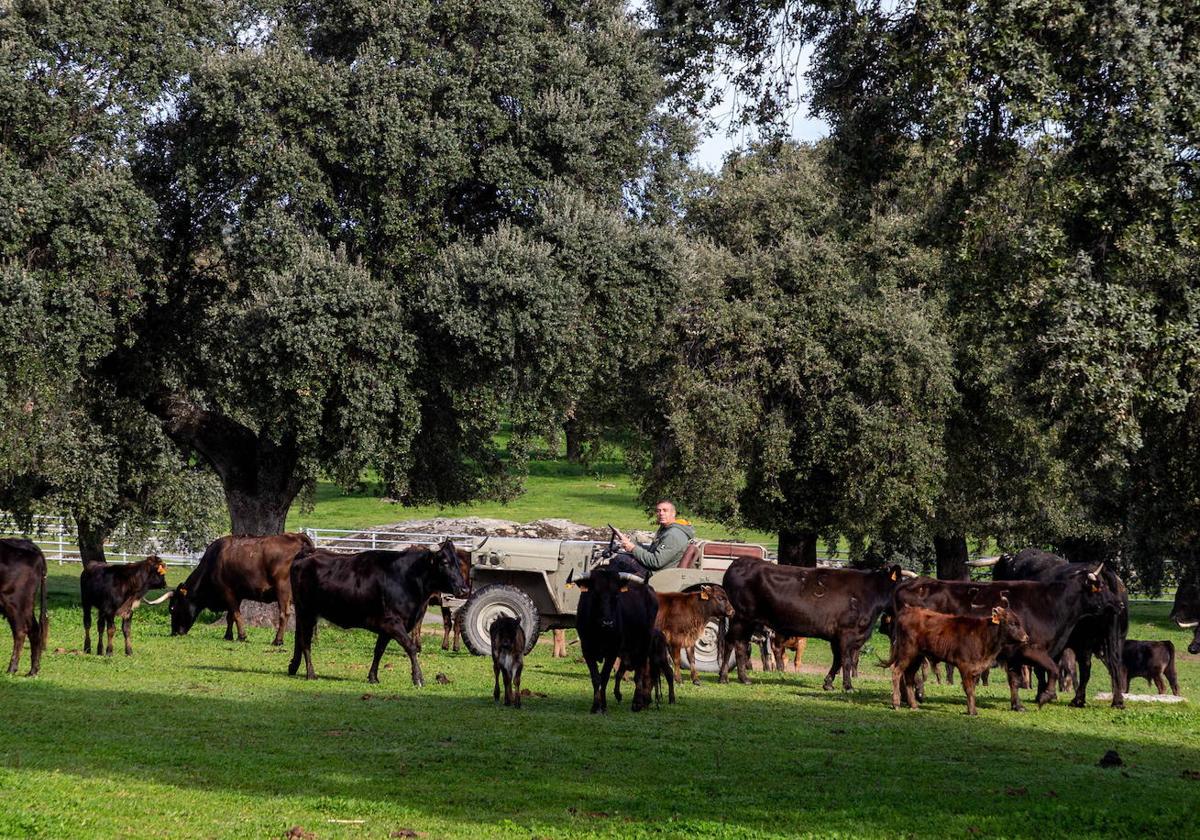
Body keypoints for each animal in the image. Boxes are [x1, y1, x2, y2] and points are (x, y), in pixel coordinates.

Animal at [0, 537, 48, 676]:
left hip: (14, 601)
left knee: (20, 630)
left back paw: (11, 669)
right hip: (26, 605)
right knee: (34, 629)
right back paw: (33, 670)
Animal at [288, 537, 475, 681]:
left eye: (458, 563)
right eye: (444, 562)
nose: (464, 589)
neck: (405, 578)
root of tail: (309, 553)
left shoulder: (386, 627)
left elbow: (379, 650)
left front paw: (373, 677)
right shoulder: (392, 622)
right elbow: (410, 647)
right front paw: (418, 677)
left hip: (305, 613)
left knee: (299, 639)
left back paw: (293, 667)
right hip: (307, 612)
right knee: (305, 642)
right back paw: (311, 674)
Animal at [892, 568, 1113, 710]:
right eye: (1100, 587)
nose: (1116, 603)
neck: (1050, 605)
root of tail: (911, 582)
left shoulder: (1014, 656)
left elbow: (1015, 681)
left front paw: (1018, 705)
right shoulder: (1031, 649)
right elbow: (1053, 669)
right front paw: (1045, 696)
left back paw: (908, 699)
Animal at [969, 552, 1128, 710]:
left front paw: (1042, 694)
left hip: (1087, 641)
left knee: (1087, 667)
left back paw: (1078, 699)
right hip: (1116, 638)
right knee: (1114, 665)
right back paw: (1116, 701)